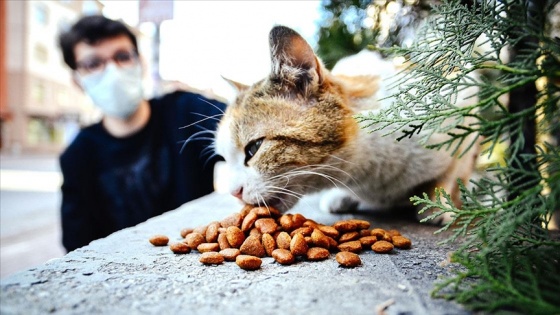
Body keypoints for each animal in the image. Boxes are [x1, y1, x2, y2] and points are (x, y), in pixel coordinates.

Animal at [212, 26, 480, 225]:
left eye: (254, 148)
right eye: (225, 158)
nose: (233, 192)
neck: (366, 174)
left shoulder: (462, 111)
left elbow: (449, 173)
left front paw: (438, 203)